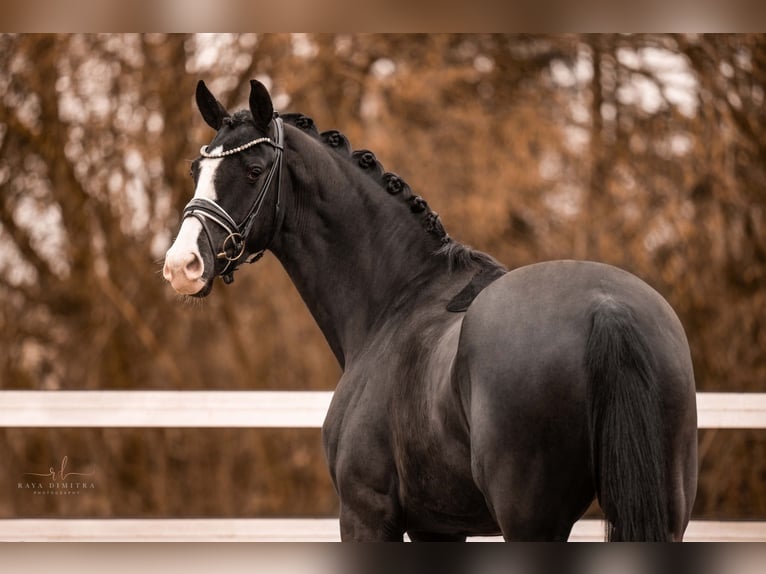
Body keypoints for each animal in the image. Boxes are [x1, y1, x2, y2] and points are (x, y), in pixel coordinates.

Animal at [165, 81, 700, 544]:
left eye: (254, 171)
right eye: (196, 170)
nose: (182, 264)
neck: (398, 298)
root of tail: (605, 308)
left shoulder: (365, 515)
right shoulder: (438, 527)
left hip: (530, 522)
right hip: (666, 509)